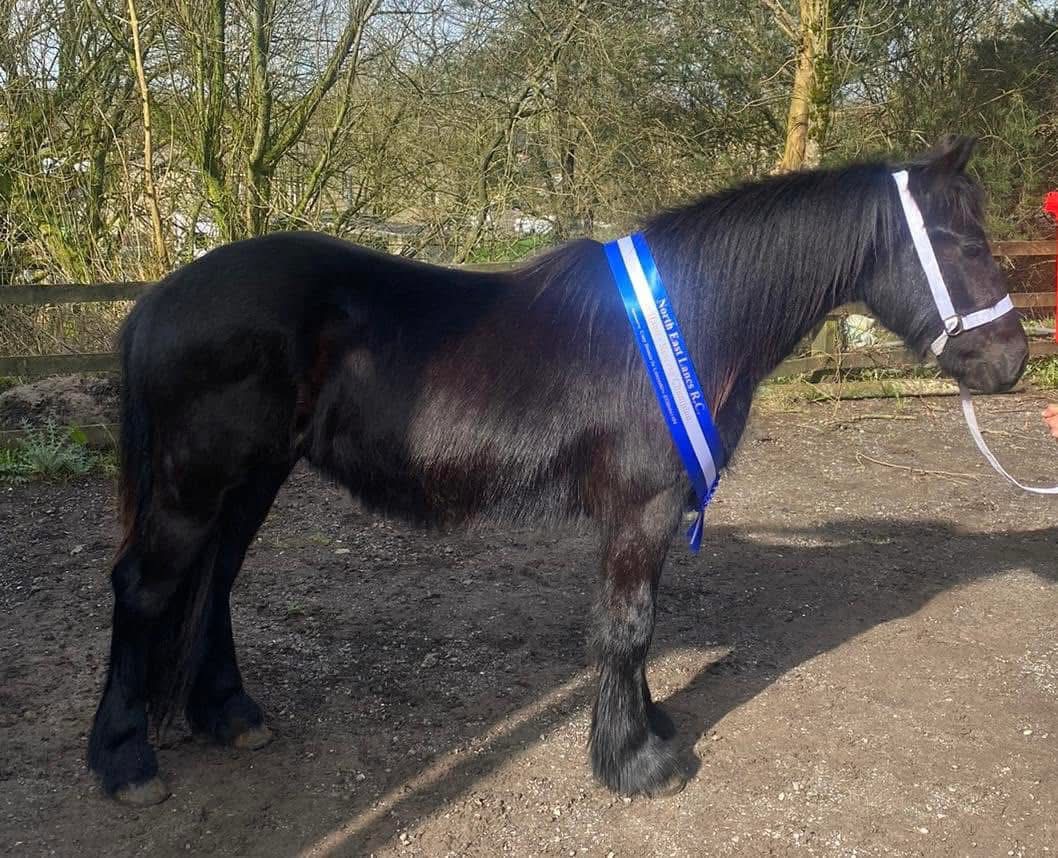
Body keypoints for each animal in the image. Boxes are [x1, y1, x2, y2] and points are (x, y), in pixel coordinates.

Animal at [87, 135, 1027, 805]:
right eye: (959, 240)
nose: (1012, 361)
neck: (690, 318)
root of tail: (158, 300)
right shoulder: (643, 508)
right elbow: (628, 625)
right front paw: (636, 764)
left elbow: (635, 626)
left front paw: (648, 730)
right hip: (195, 484)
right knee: (144, 589)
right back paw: (124, 760)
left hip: (251, 478)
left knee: (214, 582)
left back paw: (231, 715)